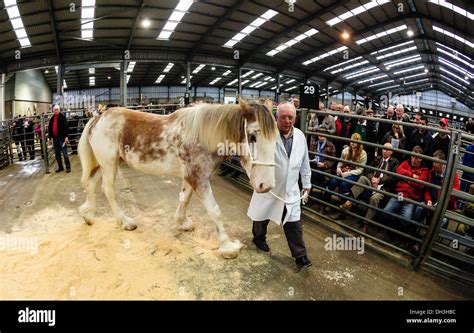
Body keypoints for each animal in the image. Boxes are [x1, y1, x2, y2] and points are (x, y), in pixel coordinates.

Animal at [78, 98, 278, 256]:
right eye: (252, 136)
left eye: (276, 139)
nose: (266, 185)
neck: (202, 137)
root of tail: (98, 117)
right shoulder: (199, 179)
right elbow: (215, 211)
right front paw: (227, 246)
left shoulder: (191, 177)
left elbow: (185, 199)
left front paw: (181, 223)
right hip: (109, 164)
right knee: (108, 190)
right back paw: (125, 222)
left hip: (106, 164)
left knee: (91, 183)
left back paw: (87, 215)